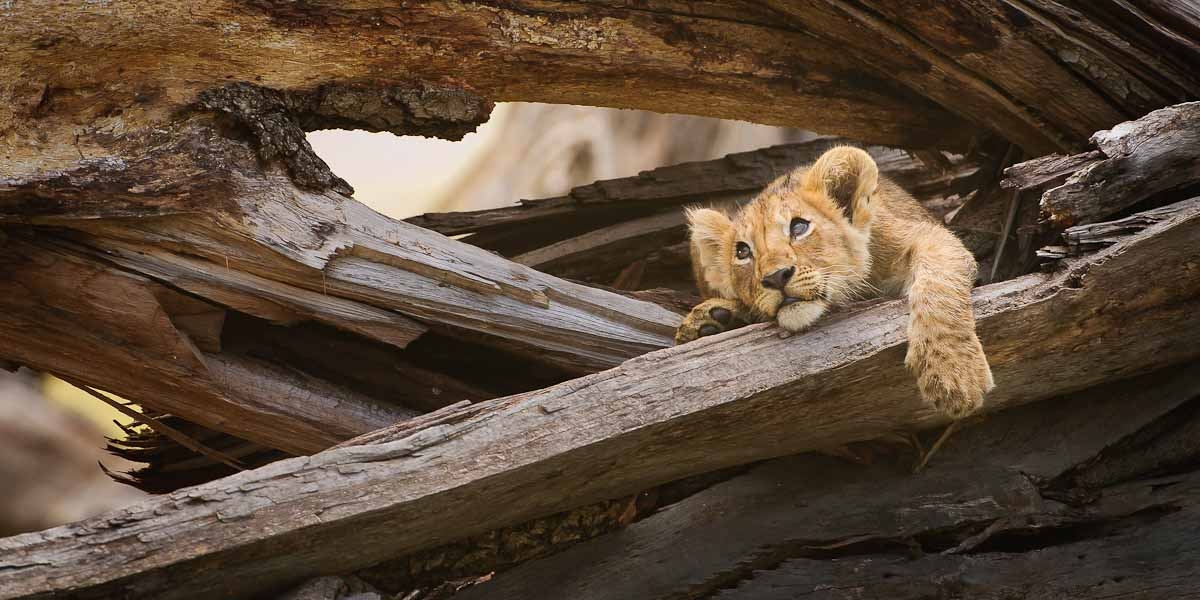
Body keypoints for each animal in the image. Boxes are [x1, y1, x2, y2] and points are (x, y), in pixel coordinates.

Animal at [676, 146, 994, 424]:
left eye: (799, 227)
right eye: (742, 251)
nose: (776, 277)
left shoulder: (927, 237)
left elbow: (938, 290)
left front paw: (953, 374)